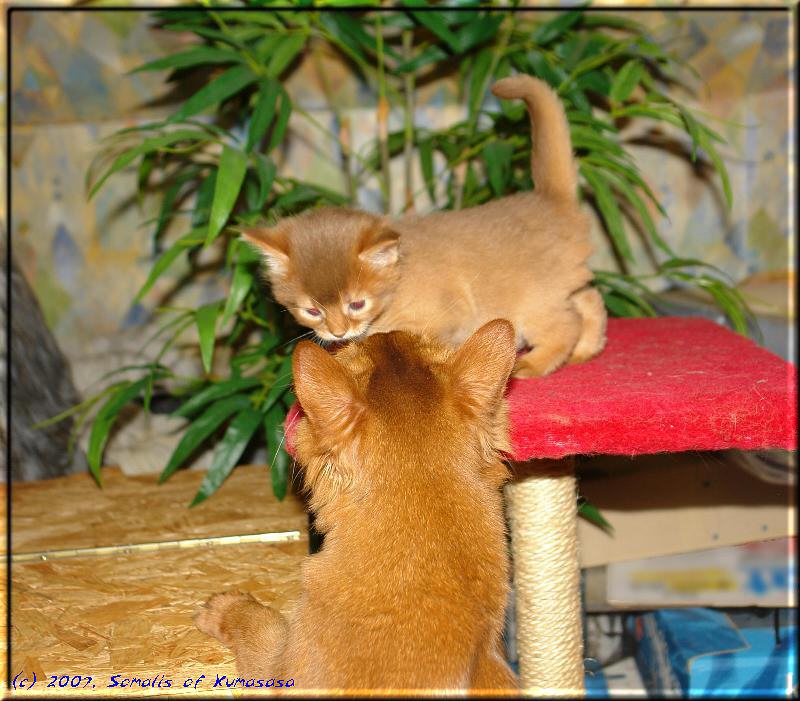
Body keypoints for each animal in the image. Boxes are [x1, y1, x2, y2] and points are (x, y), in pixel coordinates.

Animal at [244, 74, 608, 374]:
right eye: (312, 311)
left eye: (357, 304)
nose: (337, 331)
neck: (401, 276)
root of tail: (549, 198)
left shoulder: (447, 316)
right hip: (560, 285)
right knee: (590, 299)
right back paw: (587, 350)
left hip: (532, 300)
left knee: (566, 324)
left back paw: (534, 364)